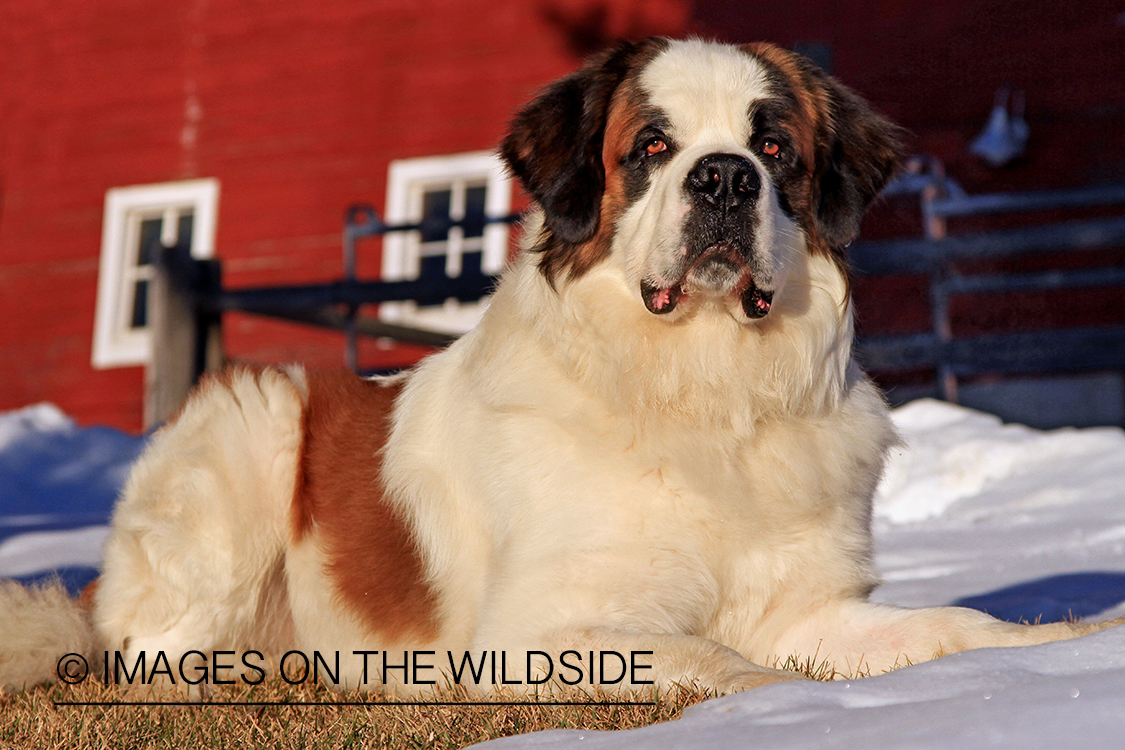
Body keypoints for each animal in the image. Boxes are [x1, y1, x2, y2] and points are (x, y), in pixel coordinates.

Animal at [4, 39, 1120, 697]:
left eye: (774, 148)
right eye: (652, 147)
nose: (725, 177)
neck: (701, 393)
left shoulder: (812, 607)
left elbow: (957, 623)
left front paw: (1062, 639)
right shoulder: (543, 626)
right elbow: (722, 658)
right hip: (255, 414)